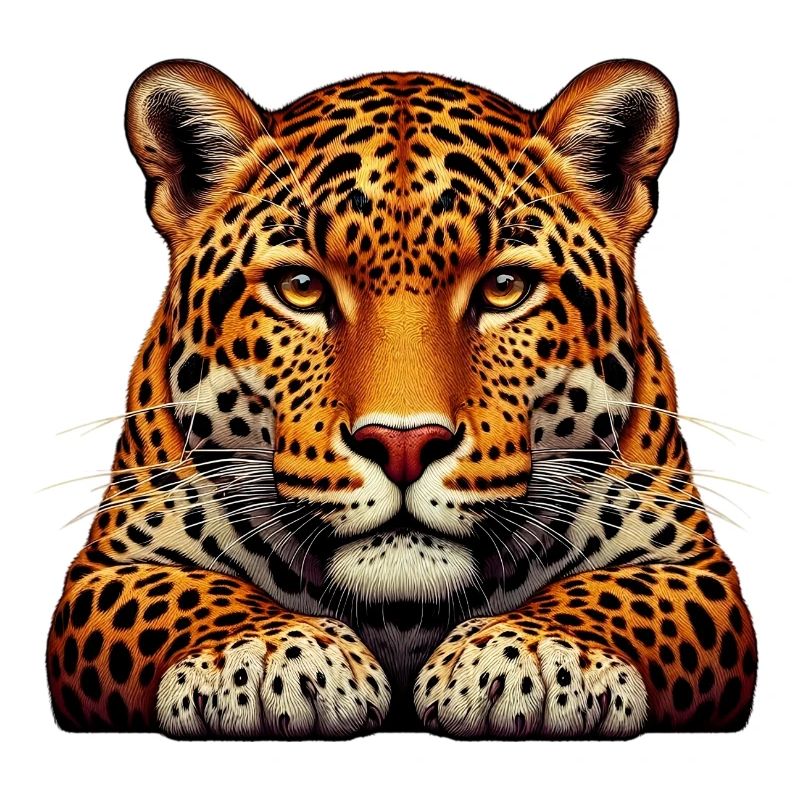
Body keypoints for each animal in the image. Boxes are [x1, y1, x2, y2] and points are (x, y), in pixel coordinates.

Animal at [46, 58, 757, 738]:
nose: (404, 445)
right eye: (301, 287)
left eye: (505, 287)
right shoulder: (110, 566)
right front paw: (265, 655)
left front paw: (536, 655)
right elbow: (184, 593)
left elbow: (619, 593)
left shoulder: (693, 565)